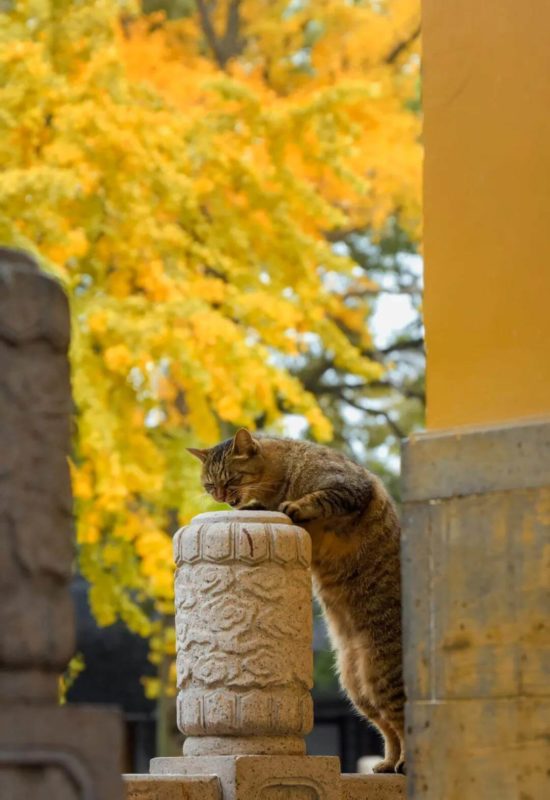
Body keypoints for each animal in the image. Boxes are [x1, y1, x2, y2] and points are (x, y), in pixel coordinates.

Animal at [188, 432, 408, 776]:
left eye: (232, 479)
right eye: (211, 485)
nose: (223, 498)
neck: (283, 478)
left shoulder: (348, 488)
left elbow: (318, 498)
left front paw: (294, 504)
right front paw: (259, 505)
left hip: (386, 676)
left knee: (405, 724)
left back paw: (406, 762)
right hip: (361, 689)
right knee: (389, 728)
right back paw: (388, 763)